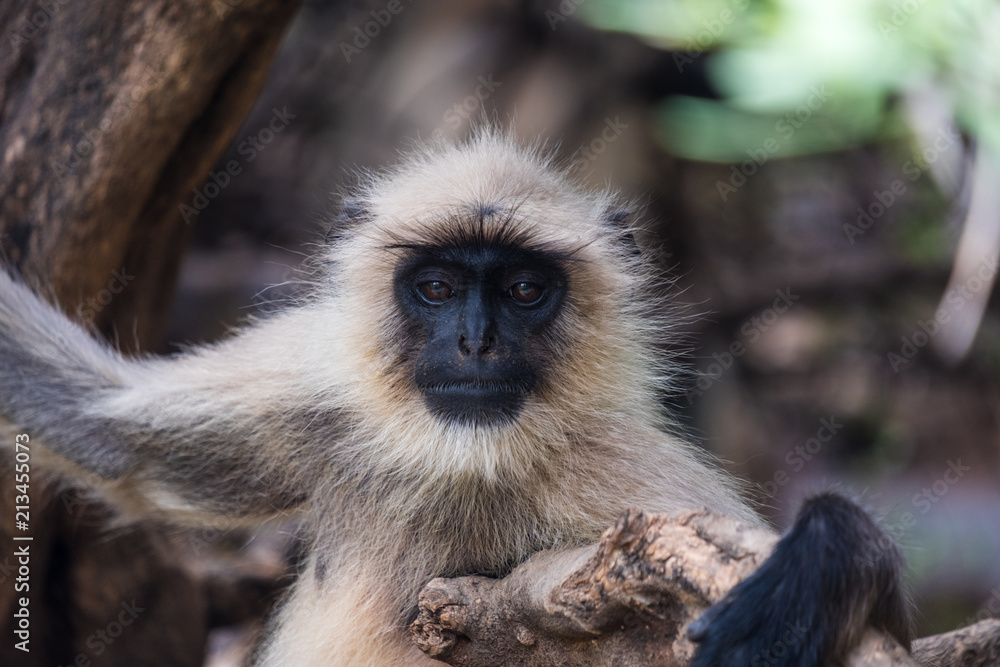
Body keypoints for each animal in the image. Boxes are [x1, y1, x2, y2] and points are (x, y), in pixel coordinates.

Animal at [0, 130, 911, 666]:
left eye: (522, 288)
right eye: (437, 287)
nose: (477, 343)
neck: (464, 461)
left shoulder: (610, 471)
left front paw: (828, 556)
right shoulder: (322, 397)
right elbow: (113, 438)